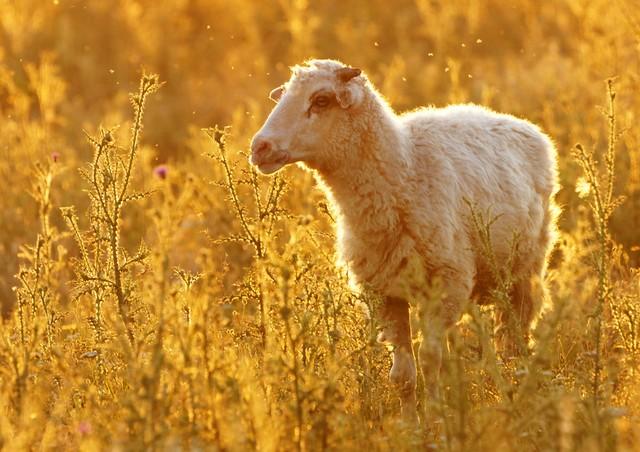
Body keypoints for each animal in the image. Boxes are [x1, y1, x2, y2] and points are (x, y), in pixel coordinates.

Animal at [248, 58, 556, 418]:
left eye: (321, 100)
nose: (260, 147)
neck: (404, 172)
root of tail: (516, 121)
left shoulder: (444, 282)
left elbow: (430, 361)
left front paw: (437, 419)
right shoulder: (383, 294)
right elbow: (404, 374)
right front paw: (411, 423)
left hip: (526, 271)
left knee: (516, 340)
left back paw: (519, 393)